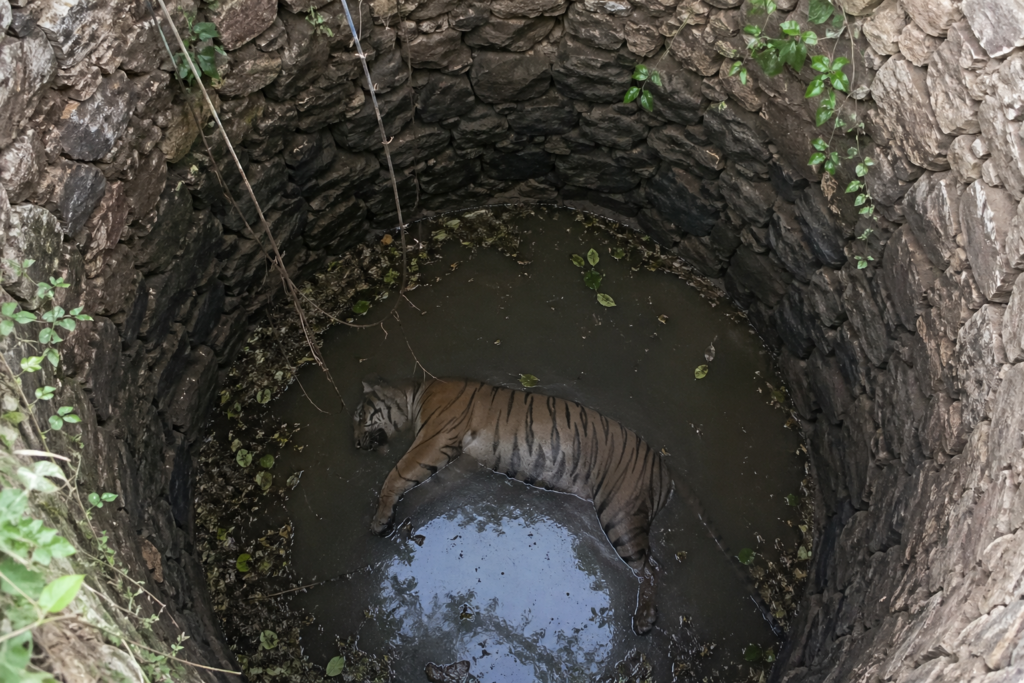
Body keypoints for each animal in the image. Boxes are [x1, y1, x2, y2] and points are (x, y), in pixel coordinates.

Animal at [352, 375, 674, 635]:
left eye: (359, 415)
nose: (355, 443)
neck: (416, 394)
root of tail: (664, 470)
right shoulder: (462, 460)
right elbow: (426, 488)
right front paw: (400, 518)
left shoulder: (434, 439)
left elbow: (397, 474)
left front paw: (380, 519)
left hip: (619, 515)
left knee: (651, 568)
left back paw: (644, 619)